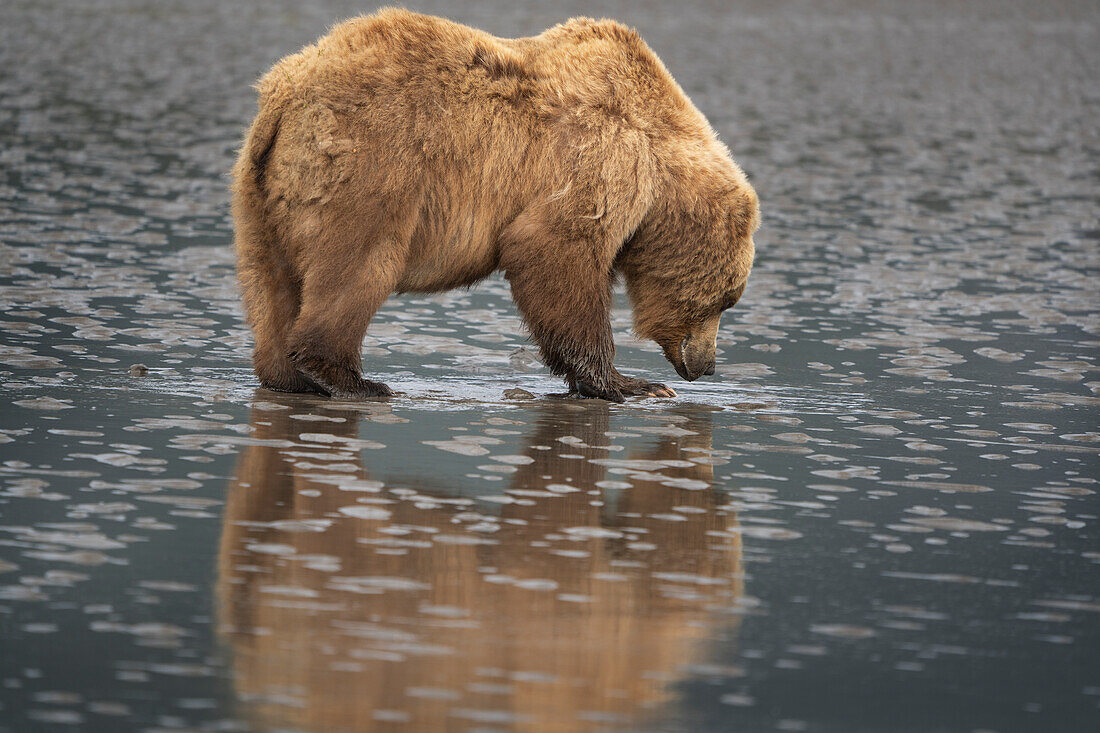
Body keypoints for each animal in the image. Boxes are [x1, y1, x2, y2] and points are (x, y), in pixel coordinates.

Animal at [234, 7, 756, 400]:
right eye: (725, 300)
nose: (707, 365)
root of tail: (286, 93)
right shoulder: (603, 158)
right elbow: (553, 249)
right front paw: (629, 383)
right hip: (371, 163)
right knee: (360, 264)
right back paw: (351, 378)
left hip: (262, 189)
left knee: (272, 282)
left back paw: (285, 374)